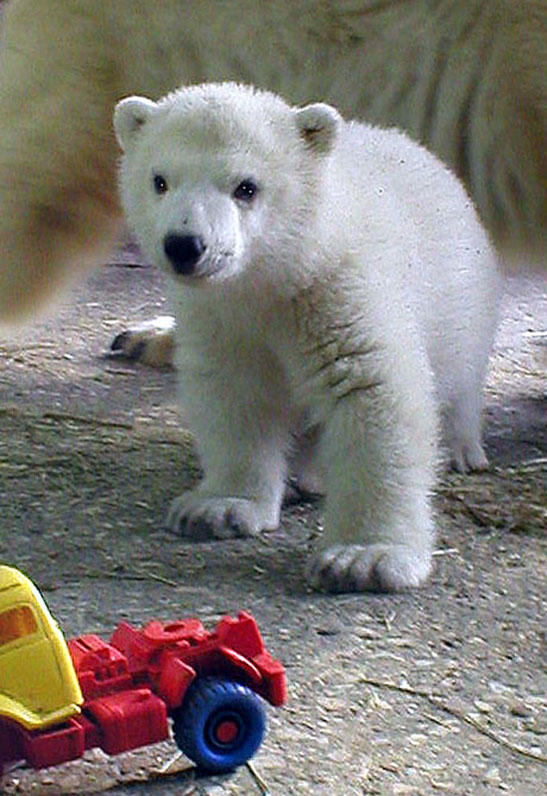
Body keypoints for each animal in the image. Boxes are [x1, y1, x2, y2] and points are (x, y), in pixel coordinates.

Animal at [114, 84, 500, 592]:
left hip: (462, 299)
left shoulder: (340, 292)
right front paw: (219, 508)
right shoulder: (223, 318)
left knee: (462, 374)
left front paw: (364, 557)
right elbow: (234, 397)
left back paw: (459, 448)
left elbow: (373, 394)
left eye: (246, 187)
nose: (184, 245)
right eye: (160, 180)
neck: (288, 271)